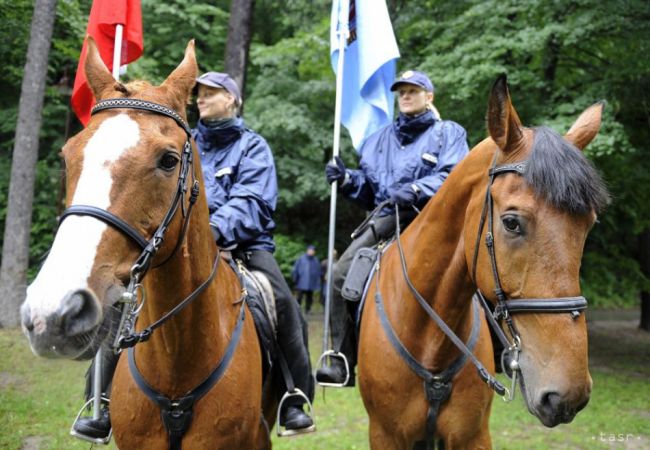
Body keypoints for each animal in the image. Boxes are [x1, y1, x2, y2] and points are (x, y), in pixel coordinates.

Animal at [354, 75, 608, 448]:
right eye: (511, 222)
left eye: (588, 225)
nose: (566, 394)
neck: (430, 341)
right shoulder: (385, 435)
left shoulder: (472, 435)